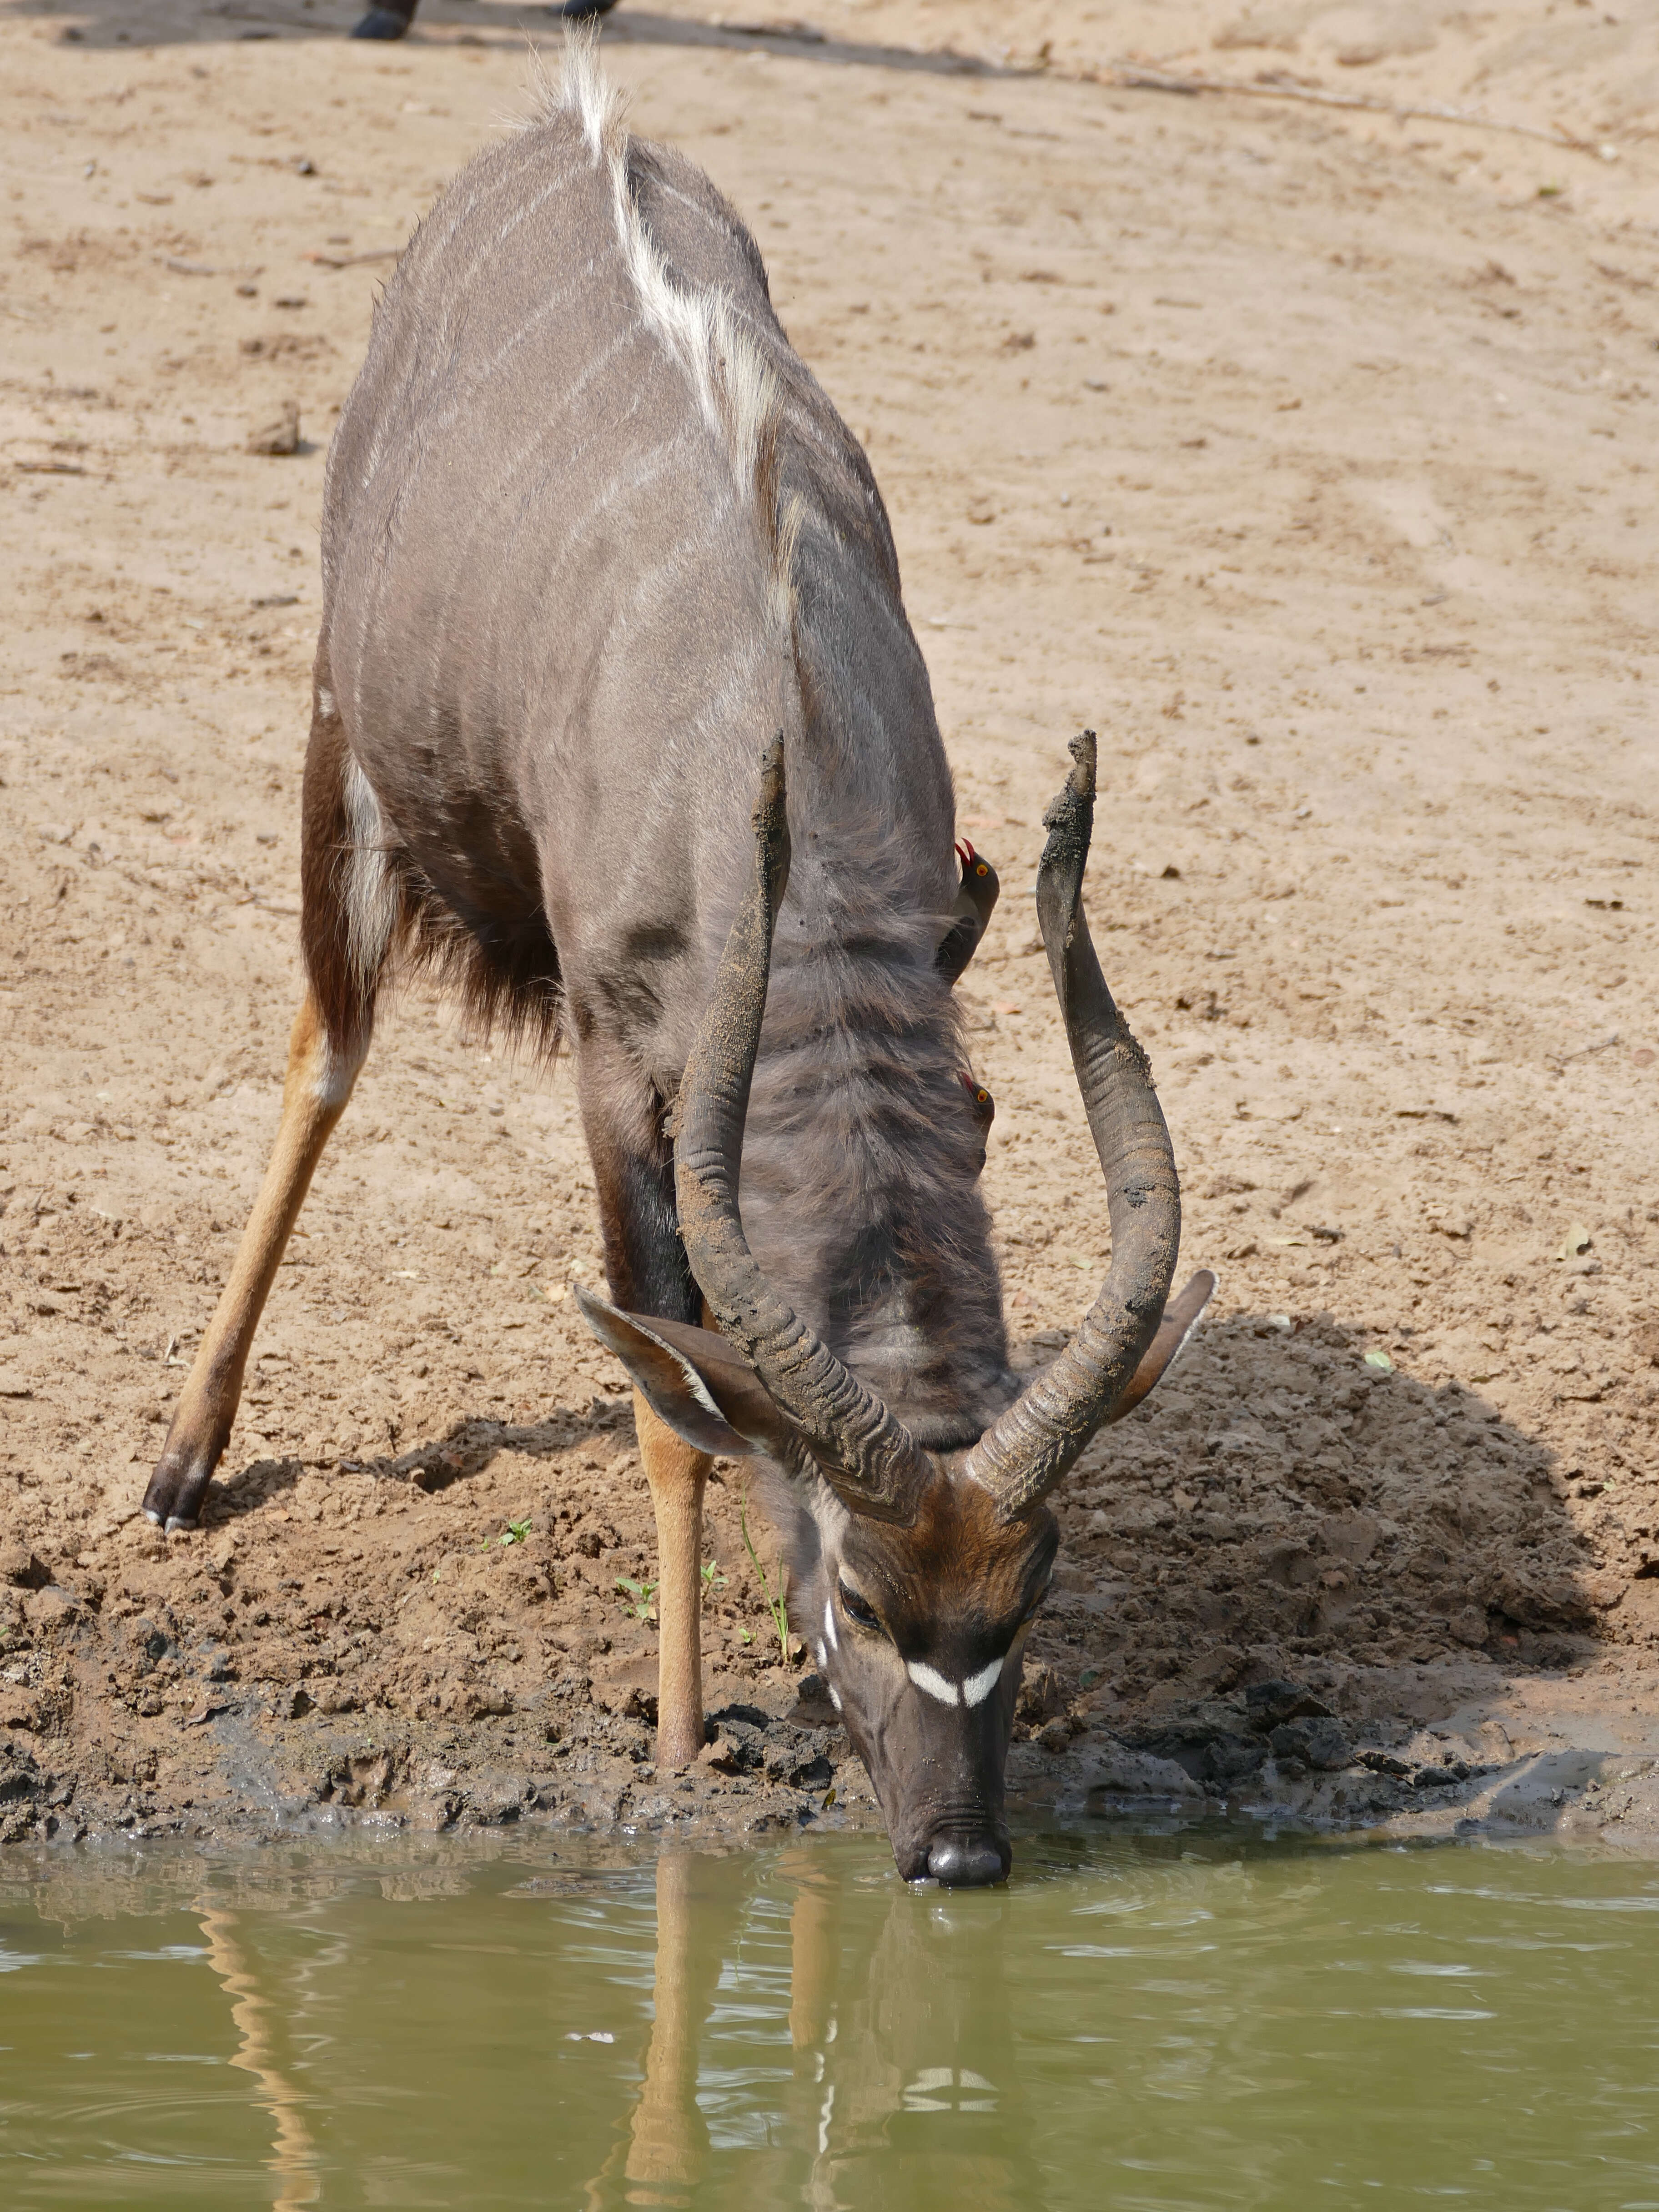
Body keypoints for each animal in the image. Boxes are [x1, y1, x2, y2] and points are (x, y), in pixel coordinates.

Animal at [140, 43, 1212, 1885]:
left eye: (1026, 1593)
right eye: (868, 1596)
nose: (956, 1856)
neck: (777, 723)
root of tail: (567, 119)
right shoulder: (609, 1060)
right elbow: (668, 1398)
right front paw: (680, 1725)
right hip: (346, 760)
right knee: (323, 1057)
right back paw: (188, 1459)